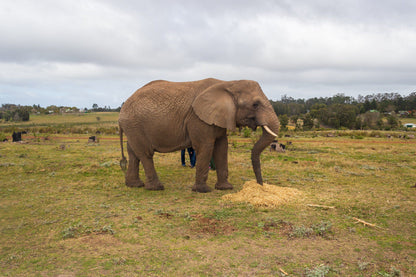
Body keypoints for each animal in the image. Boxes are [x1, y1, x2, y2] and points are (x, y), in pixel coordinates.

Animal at [118, 77, 280, 192]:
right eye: (255, 104)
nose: (260, 186)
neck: (228, 83)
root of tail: (122, 111)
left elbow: (222, 147)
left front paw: (225, 188)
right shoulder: (198, 118)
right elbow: (206, 147)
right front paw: (203, 190)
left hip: (133, 127)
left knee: (133, 153)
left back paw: (134, 185)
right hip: (135, 125)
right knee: (145, 154)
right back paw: (156, 188)